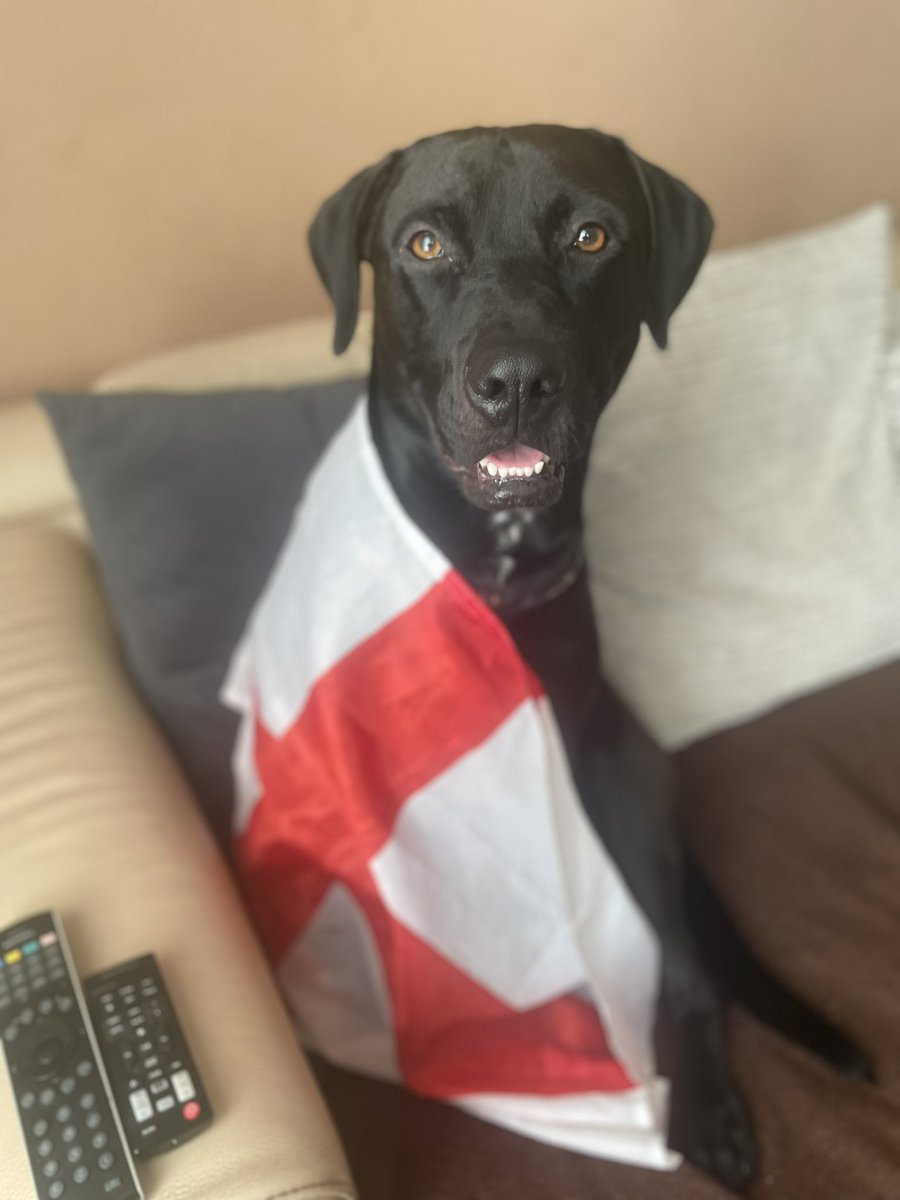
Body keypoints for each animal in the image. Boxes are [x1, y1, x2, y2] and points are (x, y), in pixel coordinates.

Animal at [307, 124, 868, 1190]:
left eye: (592, 236)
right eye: (424, 244)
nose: (517, 383)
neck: (498, 555)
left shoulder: (579, 754)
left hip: (632, 783)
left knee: (687, 970)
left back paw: (704, 1105)